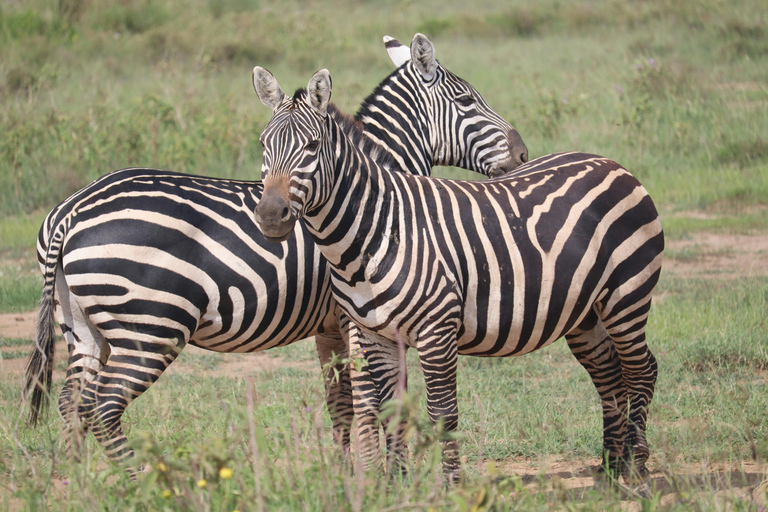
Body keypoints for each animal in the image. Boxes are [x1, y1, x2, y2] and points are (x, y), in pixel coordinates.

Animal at [24, 32, 528, 472]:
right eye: (467, 102)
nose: (523, 153)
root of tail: (70, 210)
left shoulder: (329, 327)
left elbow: (340, 405)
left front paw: (344, 476)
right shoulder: (356, 320)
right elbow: (368, 406)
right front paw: (370, 478)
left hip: (83, 328)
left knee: (72, 404)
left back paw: (80, 483)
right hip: (149, 326)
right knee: (101, 408)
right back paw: (138, 482)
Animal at [254, 66, 664, 486]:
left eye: (312, 146)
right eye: (263, 145)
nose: (270, 216)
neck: (376, 229)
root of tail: (609, 162)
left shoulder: (436, 331)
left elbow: (442, 414)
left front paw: (451, 486)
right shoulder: (373, 334)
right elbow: (392, 410)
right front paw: (396, 485)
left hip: (627, 294)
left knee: (641, 369)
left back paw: (637, 465)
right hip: (584, 309)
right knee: (609, 374)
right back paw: (611, 467)